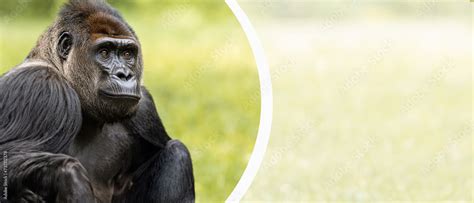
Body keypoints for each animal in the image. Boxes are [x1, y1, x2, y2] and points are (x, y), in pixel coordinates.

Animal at [0, 0, 195, 202]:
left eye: (127, 54)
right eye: (104, 52)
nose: (124, 75)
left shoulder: (145, 108)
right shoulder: (41, 86)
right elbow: (9, 160)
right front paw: (69, 175)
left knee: (177, 152)